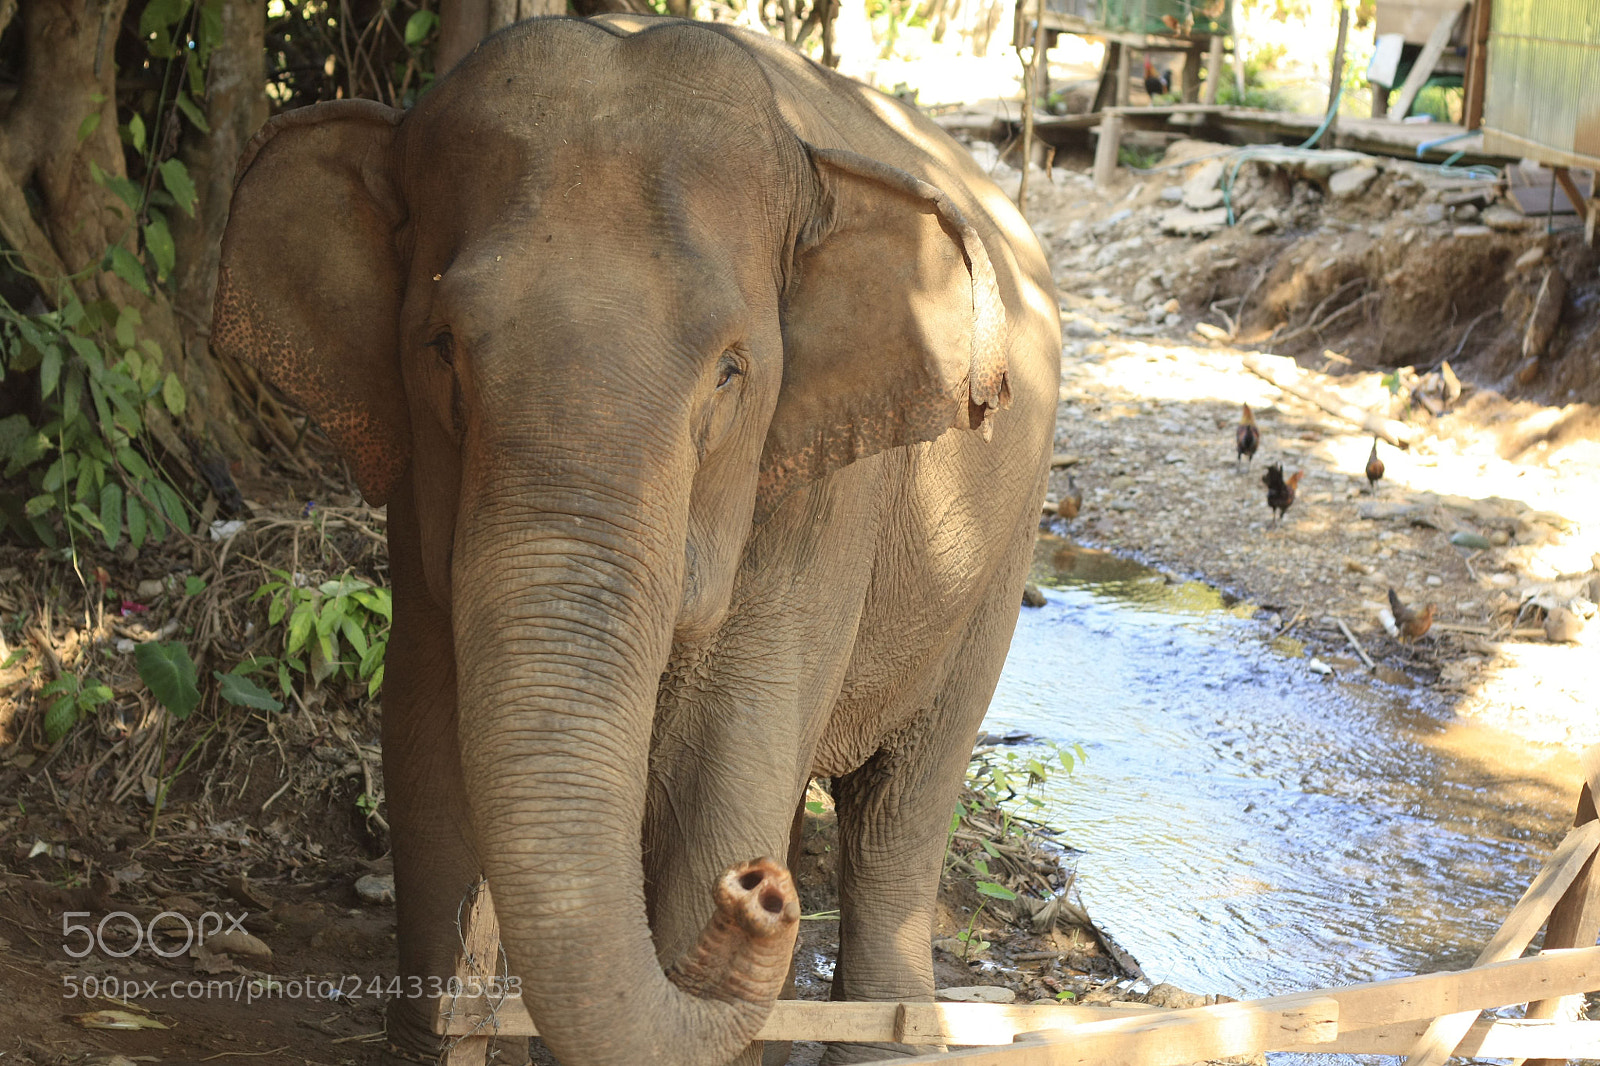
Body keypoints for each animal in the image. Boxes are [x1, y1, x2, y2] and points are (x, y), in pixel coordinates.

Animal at [212, 14, 1059, 1066]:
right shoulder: (416, 488)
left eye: (732, 371)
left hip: (1000, 559)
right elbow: (428, 749)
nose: (761, 893)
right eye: (441, 349)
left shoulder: (823, 491)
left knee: (898, 813)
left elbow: (718, 776)